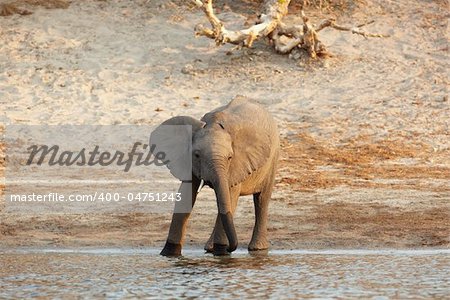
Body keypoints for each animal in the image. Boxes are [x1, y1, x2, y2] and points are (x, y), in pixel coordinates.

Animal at [149, 97, 280, 256]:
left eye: (230, 157)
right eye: (197, 155)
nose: (231, 248)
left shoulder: (237, 164)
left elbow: (230, 196)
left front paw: (221, 252)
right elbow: (186, 193)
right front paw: (169, 254)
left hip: (273, 159)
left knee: (261, 200)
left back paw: (256, 249)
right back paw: (210, 248)